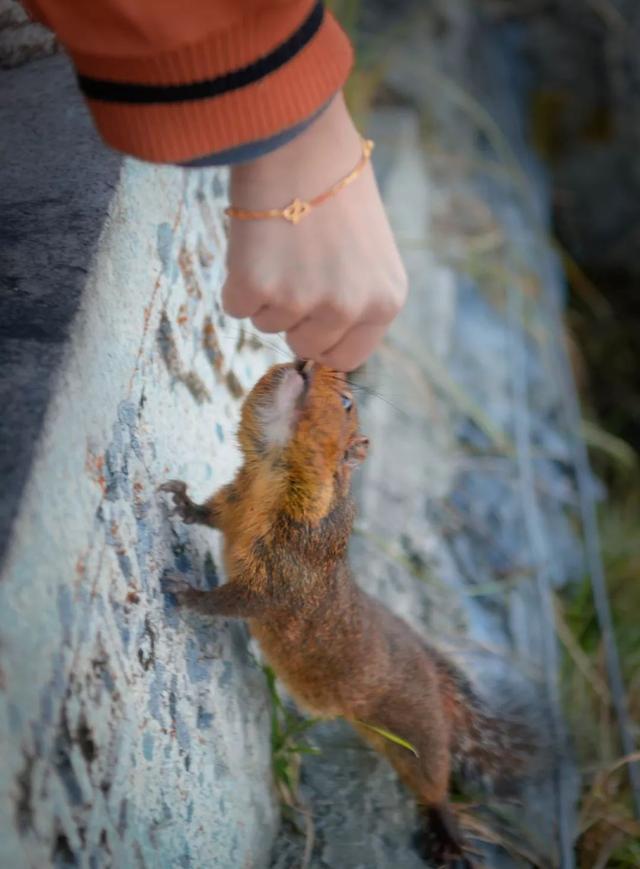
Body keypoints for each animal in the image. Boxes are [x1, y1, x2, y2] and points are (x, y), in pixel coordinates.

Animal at [159, 358, 528, 860]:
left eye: (348, 402)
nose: (307, 361)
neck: (270, 481)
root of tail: (434, 677)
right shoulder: (235, 500)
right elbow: (210, 513)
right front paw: (182, 501)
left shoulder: (289, 568)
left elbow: (242, 600)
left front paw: (187, 593)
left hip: (419, 733)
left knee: (433, 783)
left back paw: (447, 833)